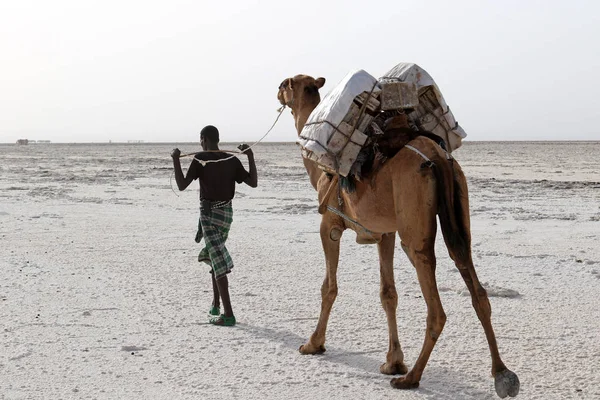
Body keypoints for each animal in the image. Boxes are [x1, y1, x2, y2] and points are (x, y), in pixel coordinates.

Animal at [276, 74, 520, 396]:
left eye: (285, 84)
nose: (277, 92)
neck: (320, 171)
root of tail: (438, 156)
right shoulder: (385, 232)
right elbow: (388, 293)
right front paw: (393, 361)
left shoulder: (329, 225)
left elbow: (329, 287)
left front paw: (313, 343)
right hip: (458, 205)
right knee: (472, 279)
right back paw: (502, 373)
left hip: (414, 226)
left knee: (434, 302)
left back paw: (411, 378)